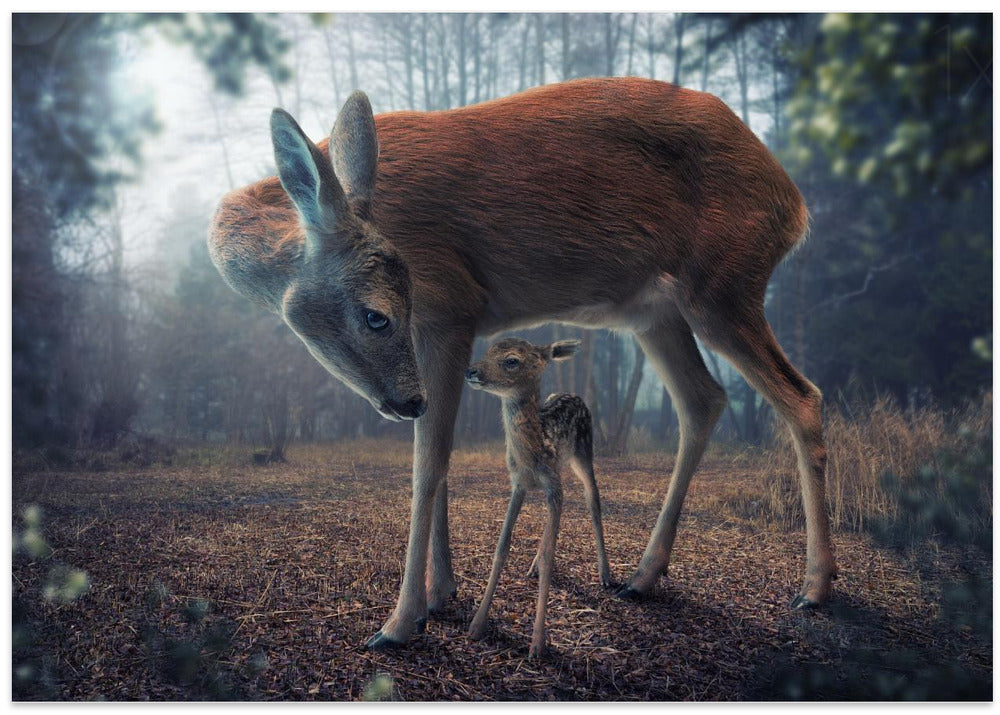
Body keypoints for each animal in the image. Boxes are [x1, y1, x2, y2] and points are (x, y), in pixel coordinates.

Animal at [464, 337, 614, 657]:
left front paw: (537, 644)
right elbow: (502, 546)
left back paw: (606, 574)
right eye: (488, 350)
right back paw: (533, 565)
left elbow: (550, 556)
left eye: (511, 360)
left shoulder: (552, 484)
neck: (532, 453)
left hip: (584, 453)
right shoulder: (519, 483)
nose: (471, 371)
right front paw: (476, 625)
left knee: (593, 500)